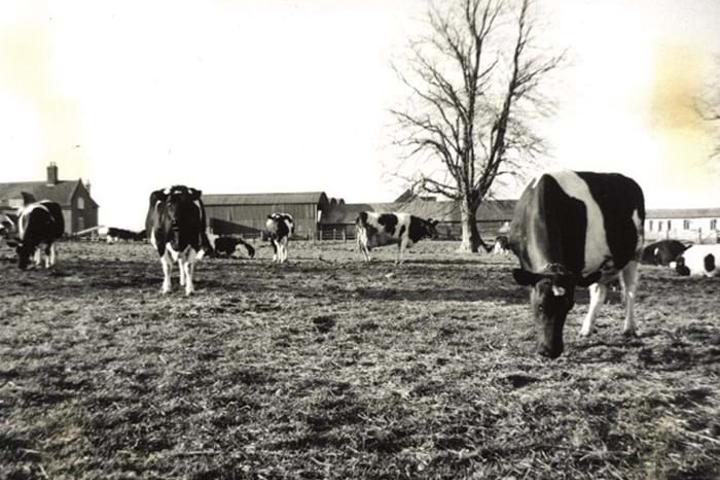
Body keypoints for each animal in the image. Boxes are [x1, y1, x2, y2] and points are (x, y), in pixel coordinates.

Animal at [510, 171, 644, 358]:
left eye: (569, 306)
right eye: (540, 306)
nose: (551, 351)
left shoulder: (575, 266)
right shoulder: (524, 262)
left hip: (634, 253)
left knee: (630, 289)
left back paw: (629, 328)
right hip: (601, 263)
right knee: (599, 292)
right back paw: (587, 329)